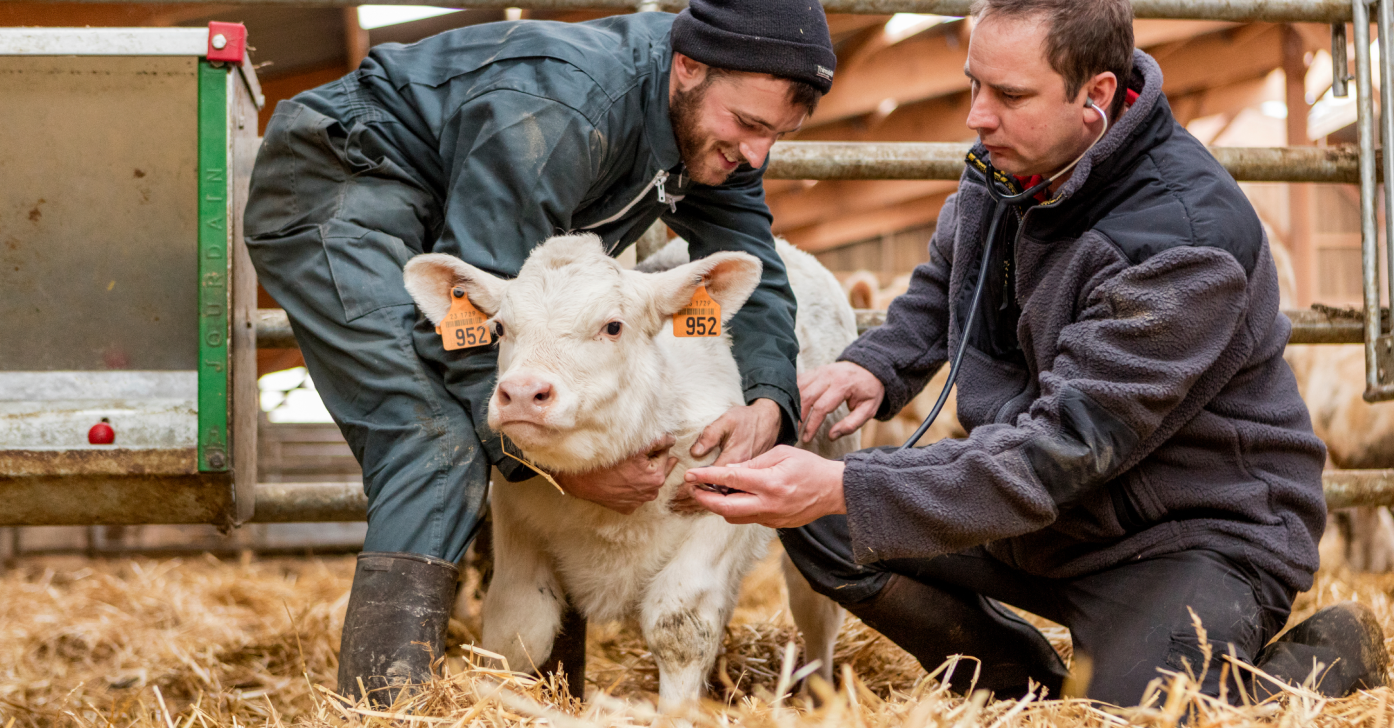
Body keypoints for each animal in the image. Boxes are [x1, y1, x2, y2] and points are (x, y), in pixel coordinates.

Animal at [403, 234, 854, 706]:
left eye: (613, 327)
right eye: (500, 329)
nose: (523, 393)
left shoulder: (724, 504)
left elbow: (679, 626)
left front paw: (677, 711)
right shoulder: (516, 517)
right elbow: (517, 628)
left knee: (815, 608)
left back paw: (819, 696)